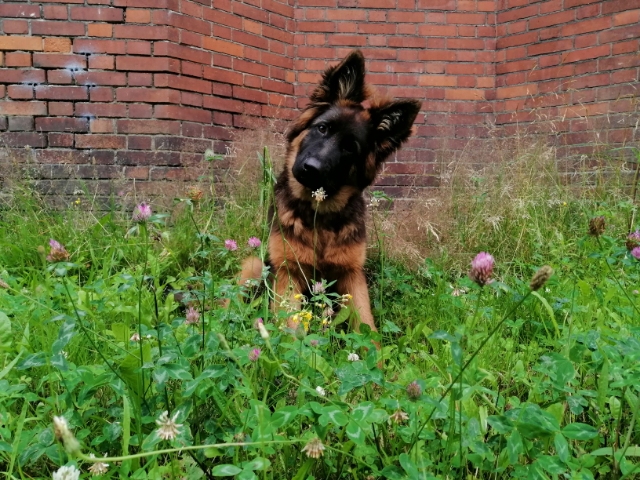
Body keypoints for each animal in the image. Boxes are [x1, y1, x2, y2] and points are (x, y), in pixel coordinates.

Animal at [239, 50, 421, 334]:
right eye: (323, 128)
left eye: (350, 148)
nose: (311, 169)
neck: (320, 217)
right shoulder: (288, 272)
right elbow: (291, 326)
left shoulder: (352, 274)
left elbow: (367, 325)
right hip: (254, 266)